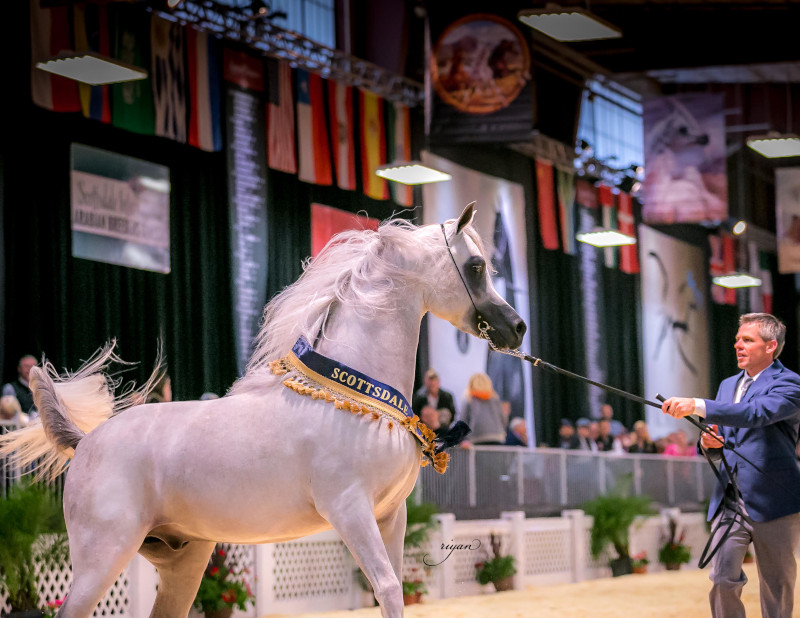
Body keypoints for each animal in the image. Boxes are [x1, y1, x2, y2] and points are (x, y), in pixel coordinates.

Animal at [0, 203, 528, 616]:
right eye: (475, 266)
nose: (516, 328)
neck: (350, 396)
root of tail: (87, 441)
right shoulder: (349, 509)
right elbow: (387, 588)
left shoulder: (390, 516)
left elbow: (394, 589)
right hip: (102, 556)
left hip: (183, 560)